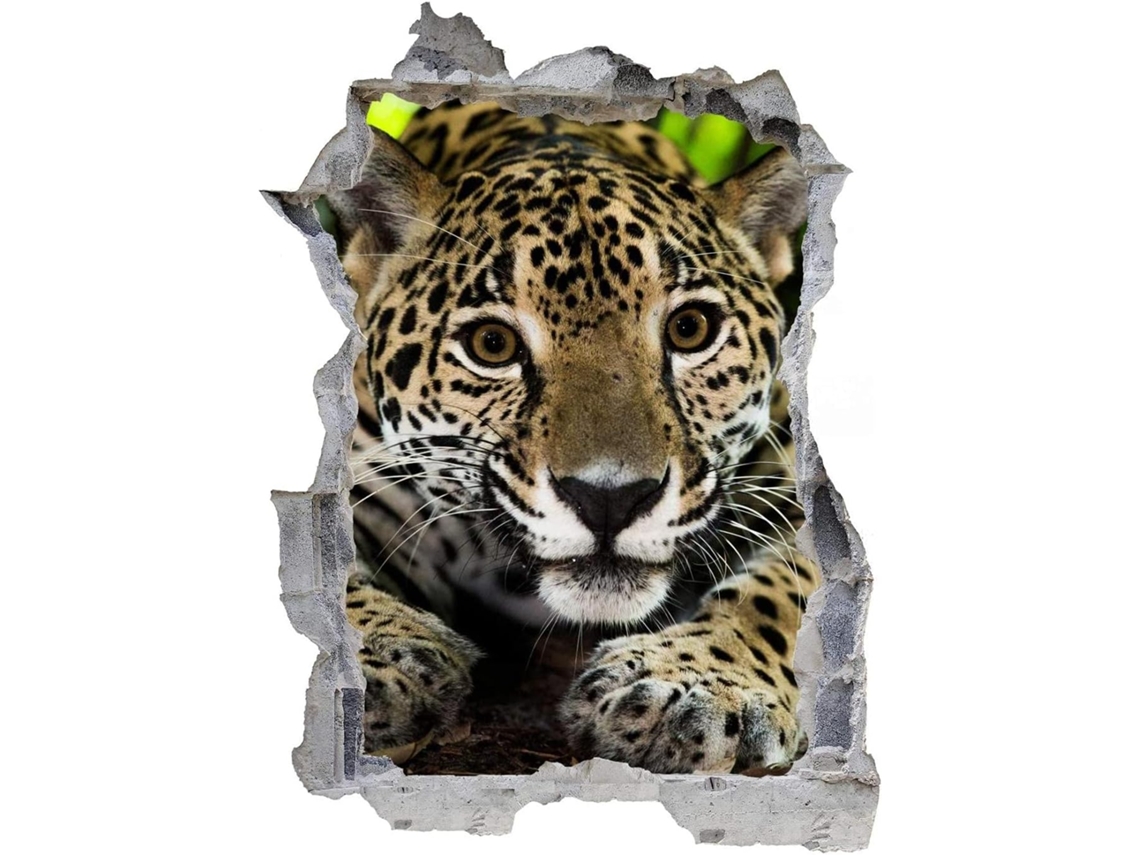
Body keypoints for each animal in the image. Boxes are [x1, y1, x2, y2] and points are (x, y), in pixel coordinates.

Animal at [327, 99, 818, 776]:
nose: (610, 498)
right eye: (491, 344)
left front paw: (694, 684)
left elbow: (780, 592)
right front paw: (384, 656)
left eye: (690, 329)